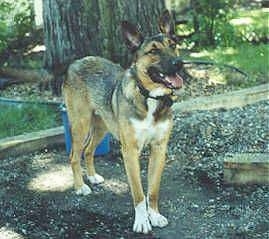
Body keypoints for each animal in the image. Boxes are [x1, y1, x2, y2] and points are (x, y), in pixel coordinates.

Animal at [62, 10, 184, 232]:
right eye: (153, 51)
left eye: (173, 44)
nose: (179, 63)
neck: (150, 98)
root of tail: (76, 62)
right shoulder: (130, 152)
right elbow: (138, 193)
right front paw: (142, 221)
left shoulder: (159, 148)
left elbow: (153, 190)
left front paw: (155, 215)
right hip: (80, 124)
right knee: (74, 155)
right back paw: (80, 186)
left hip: (101, 127)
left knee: (89, 151)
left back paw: (92, 177)